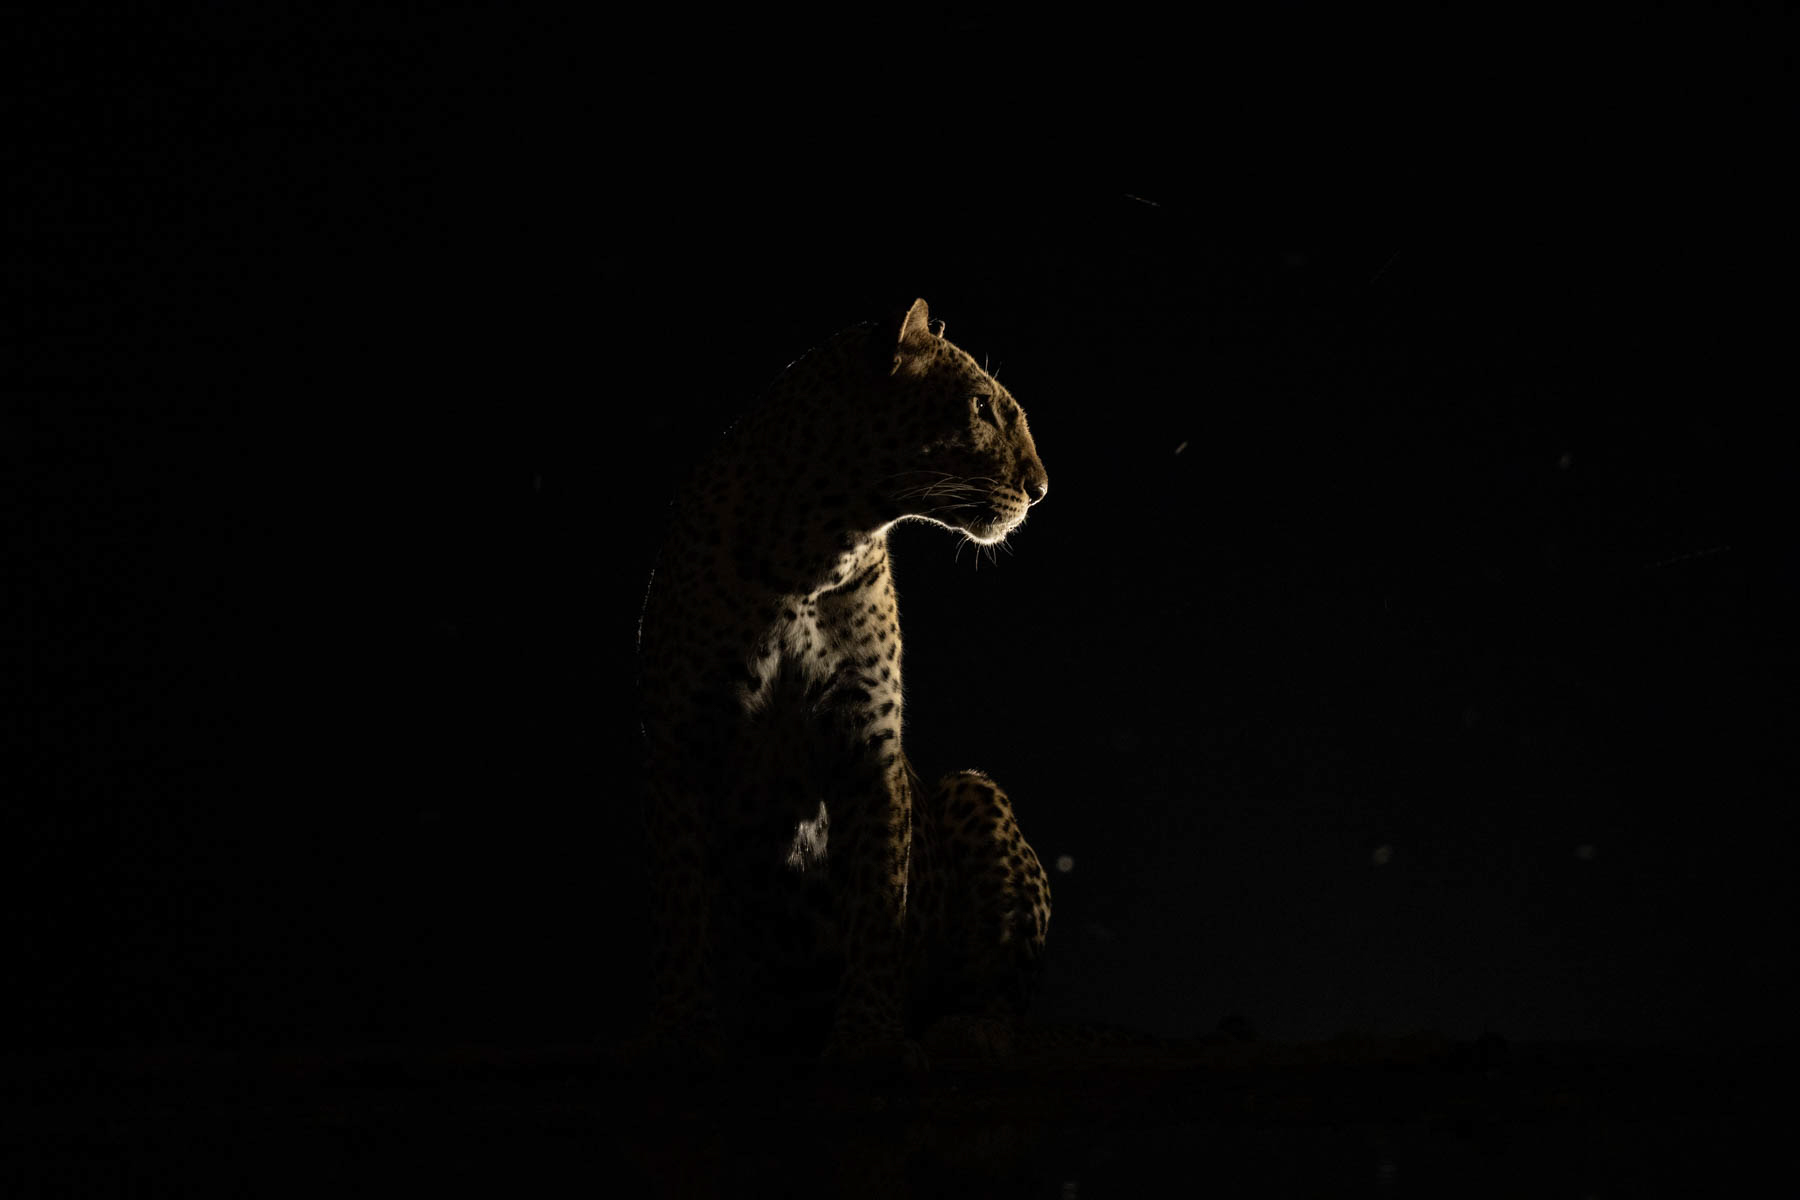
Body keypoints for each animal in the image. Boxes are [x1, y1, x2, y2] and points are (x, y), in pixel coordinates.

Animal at [635, 298, 1051, 1074]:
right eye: (981, 407)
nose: (1042, 489)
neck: (810, 552)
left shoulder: (869, 749)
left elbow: (877, 902)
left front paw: (870, 1035)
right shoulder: (683, 744)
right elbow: (683, 903)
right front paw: (684, 1029)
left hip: (974, 791)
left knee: (1001, 995)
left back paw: (970, 1030)